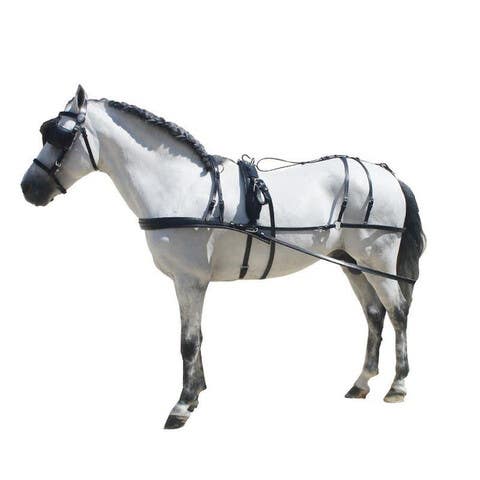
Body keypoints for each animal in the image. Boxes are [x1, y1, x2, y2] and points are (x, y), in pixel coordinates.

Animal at [21, 85, 425, 429]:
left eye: (60, 135)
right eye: (46, 132)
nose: (28, 188)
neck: (182, 188)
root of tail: (387, 174)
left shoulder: (190, 280)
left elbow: (188, 341)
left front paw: (182, 405)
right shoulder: (189, 282)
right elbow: (196, 336)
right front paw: (197, 392)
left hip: (377, 260)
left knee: (397, 312)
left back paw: (397, 386)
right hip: (351, 263)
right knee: (374, 314)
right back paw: (362, 382)